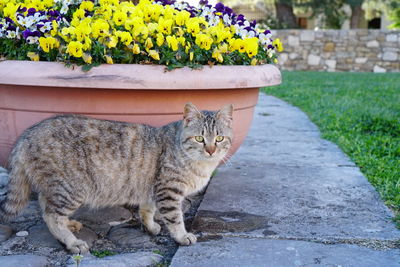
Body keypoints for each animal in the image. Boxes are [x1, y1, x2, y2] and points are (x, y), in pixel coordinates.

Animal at [0, 103, 233, 254]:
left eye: (219, 138)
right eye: (200, 138)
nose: (211, 150)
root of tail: (26, 135)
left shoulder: (152, 188)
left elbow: (147, 210)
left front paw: (150, 226)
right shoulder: (168, 191)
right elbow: (175, 218)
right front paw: (182, 235)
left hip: (55, 187)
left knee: (45, 204)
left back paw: (70, 224)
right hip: (71, 188)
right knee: (51, 216)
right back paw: (72, 242)